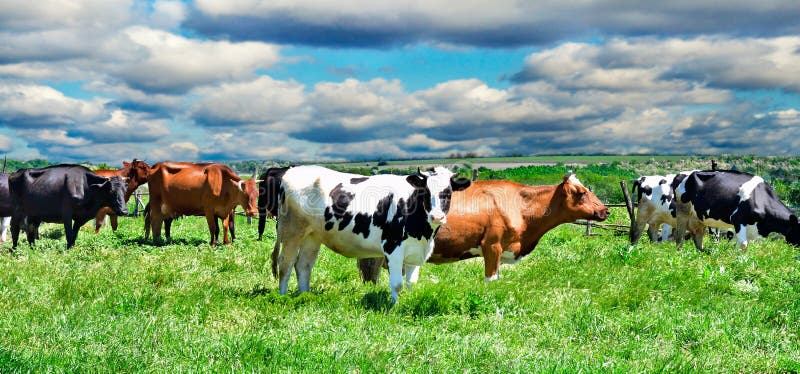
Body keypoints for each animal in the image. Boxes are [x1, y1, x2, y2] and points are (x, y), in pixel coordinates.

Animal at [266, 166, 472, 300]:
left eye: (448, 192)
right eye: (425, 192)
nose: (437, 216)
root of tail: (290, 171)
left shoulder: (416, 250)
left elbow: (411, 283)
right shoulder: (392, 248)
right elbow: (397, 284)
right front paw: (394, 307)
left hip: (312, 236)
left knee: (303, 265)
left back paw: (304, 296)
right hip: (292, 231)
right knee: (285, 264)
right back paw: (283, 298)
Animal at [668, 169, 800, 251]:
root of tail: (680, 174)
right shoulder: (738, 219)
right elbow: (743, 245)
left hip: (699, 217)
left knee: (698, 239)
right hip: (683, 211)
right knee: (679, 236)